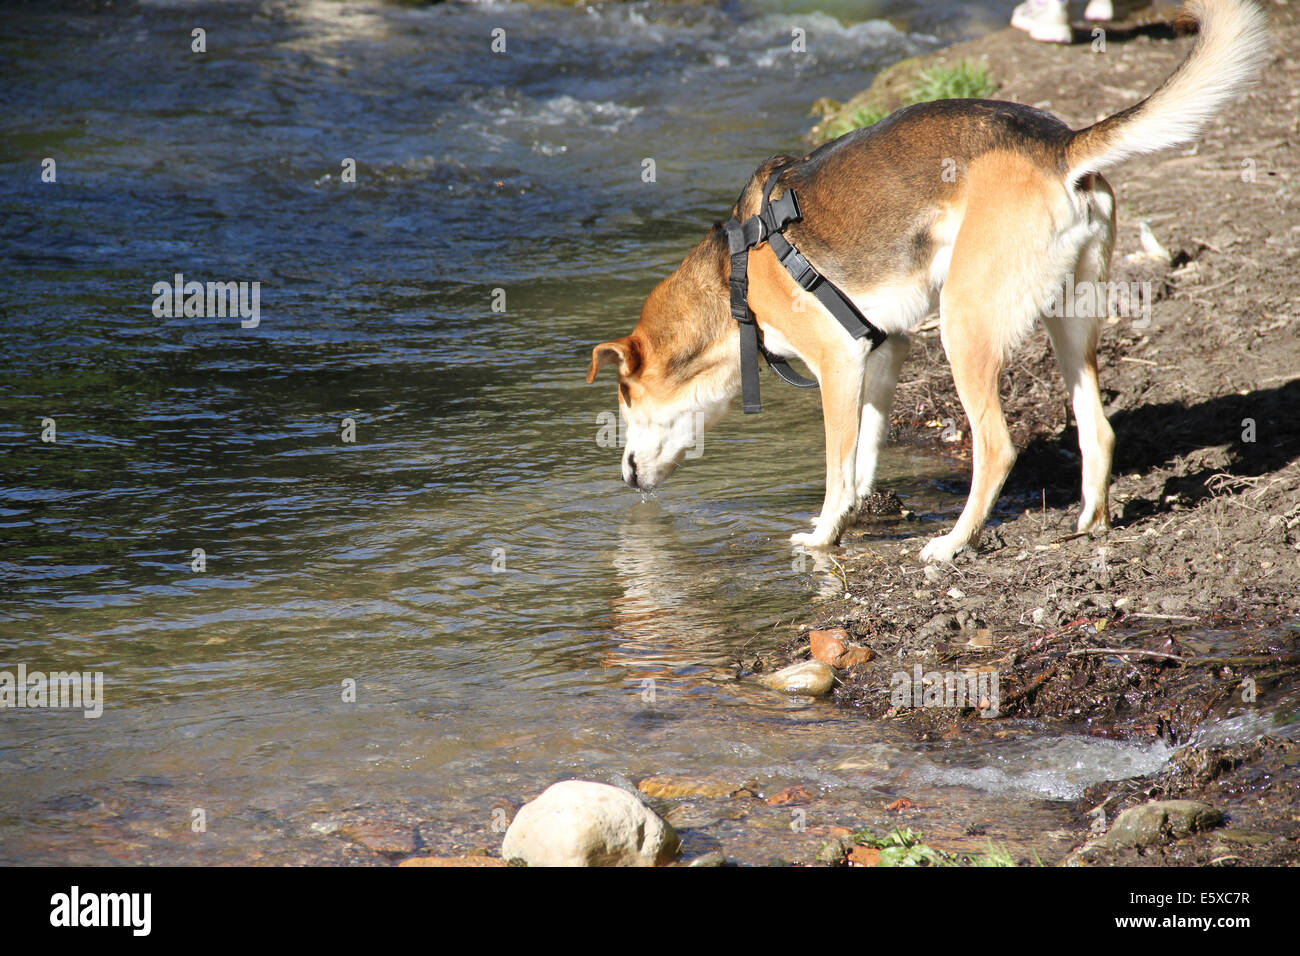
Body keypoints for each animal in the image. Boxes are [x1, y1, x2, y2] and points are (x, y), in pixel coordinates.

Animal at [590, 1, 1268, 561]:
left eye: (624, 395)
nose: (623, 477)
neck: (735, 277)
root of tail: (1059, 145)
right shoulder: (882, 351)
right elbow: (863, 459)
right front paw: (852, 519)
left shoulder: (837, 364)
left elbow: (837, 466)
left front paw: (822, 535)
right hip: (1069, 324)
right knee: (1096, 429)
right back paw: (1089, 525)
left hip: (964, 328)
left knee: (996, 447)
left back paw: (952, 544)